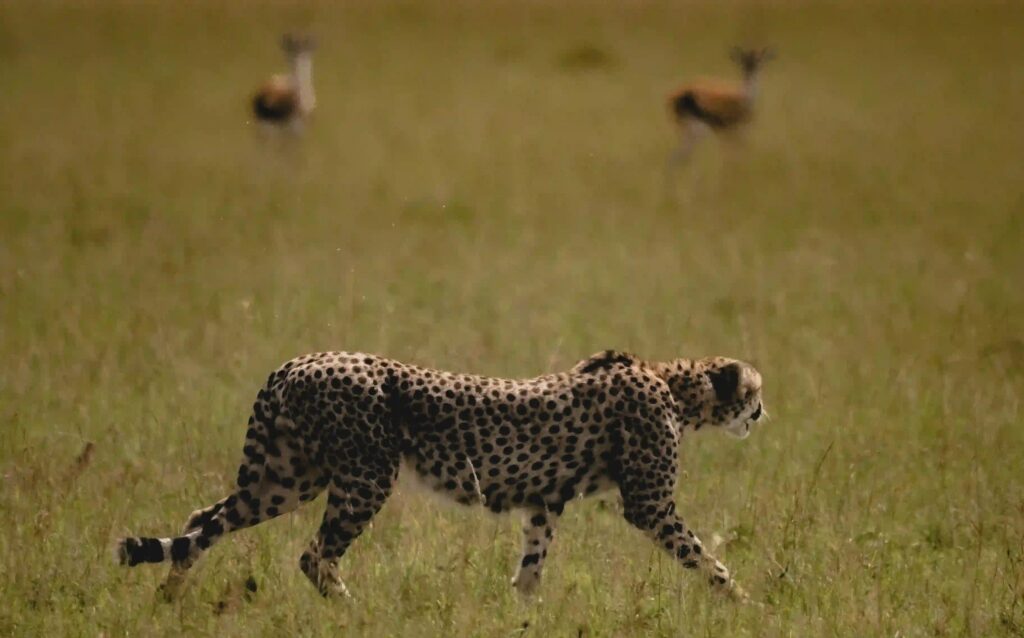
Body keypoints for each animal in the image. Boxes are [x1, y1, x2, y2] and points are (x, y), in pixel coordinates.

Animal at [116, 349, 766, 602]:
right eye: (755, 392)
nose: (763, 413)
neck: (672, 383)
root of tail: (298, 361)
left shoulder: (543, 502)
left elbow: (531, 568)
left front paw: (522, 613)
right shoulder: (649, 505)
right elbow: (705, 556)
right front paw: (742, 603)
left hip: (288, 477)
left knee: (203, 521)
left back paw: (169, 599)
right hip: (363, 477)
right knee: (312, 555)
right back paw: (351, 611)